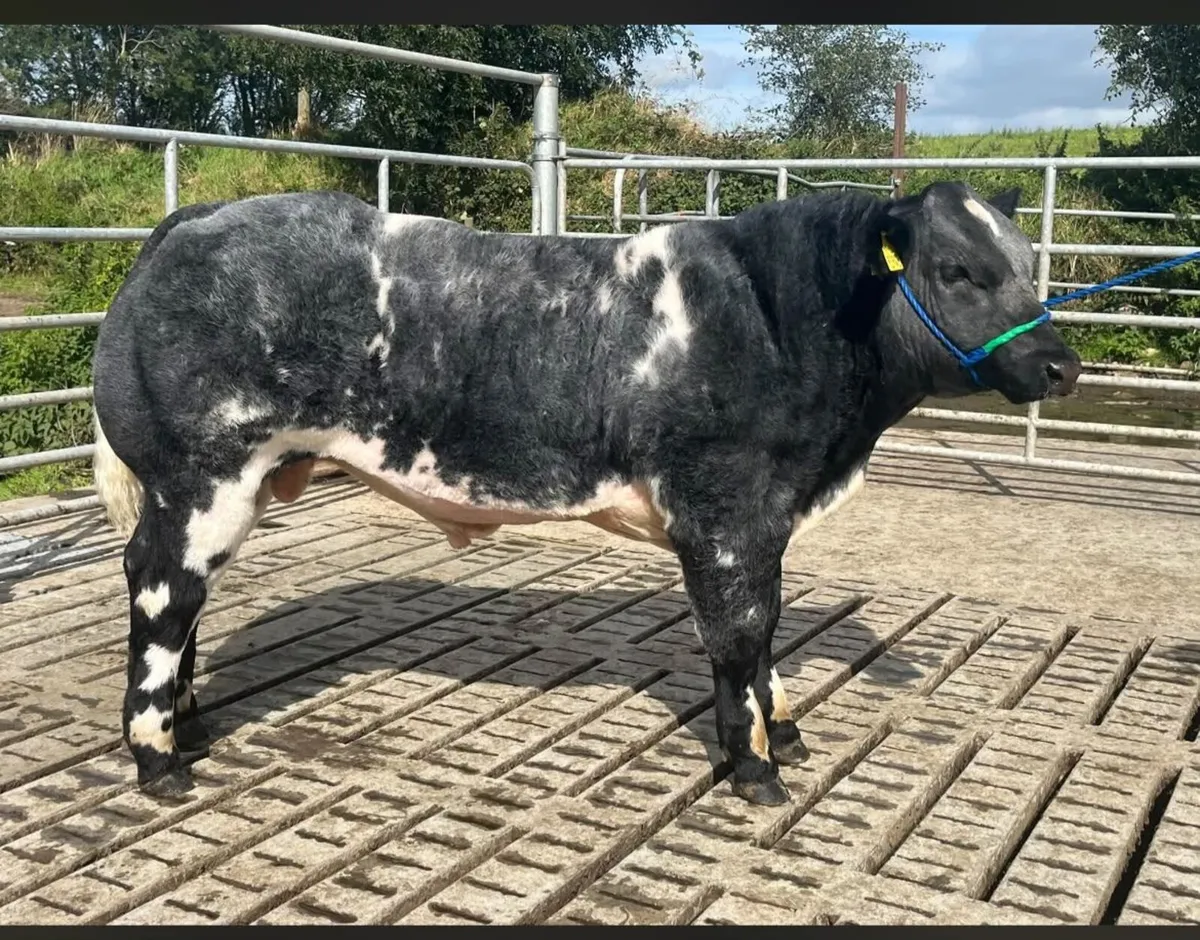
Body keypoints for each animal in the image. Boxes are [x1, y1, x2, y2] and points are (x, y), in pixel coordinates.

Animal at [91, 181, 1080, 805]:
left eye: (1029, 261)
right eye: (958, 270)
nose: (1062, 365)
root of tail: (199, 219)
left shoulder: (763, 522)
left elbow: (767, 631)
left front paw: (785, 731)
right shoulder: (722, 510)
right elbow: (739, 637)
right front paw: (755, 768)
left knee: (183, 601)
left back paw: (191, 728)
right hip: (201, 475)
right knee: (161, 593)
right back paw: (159, 759)